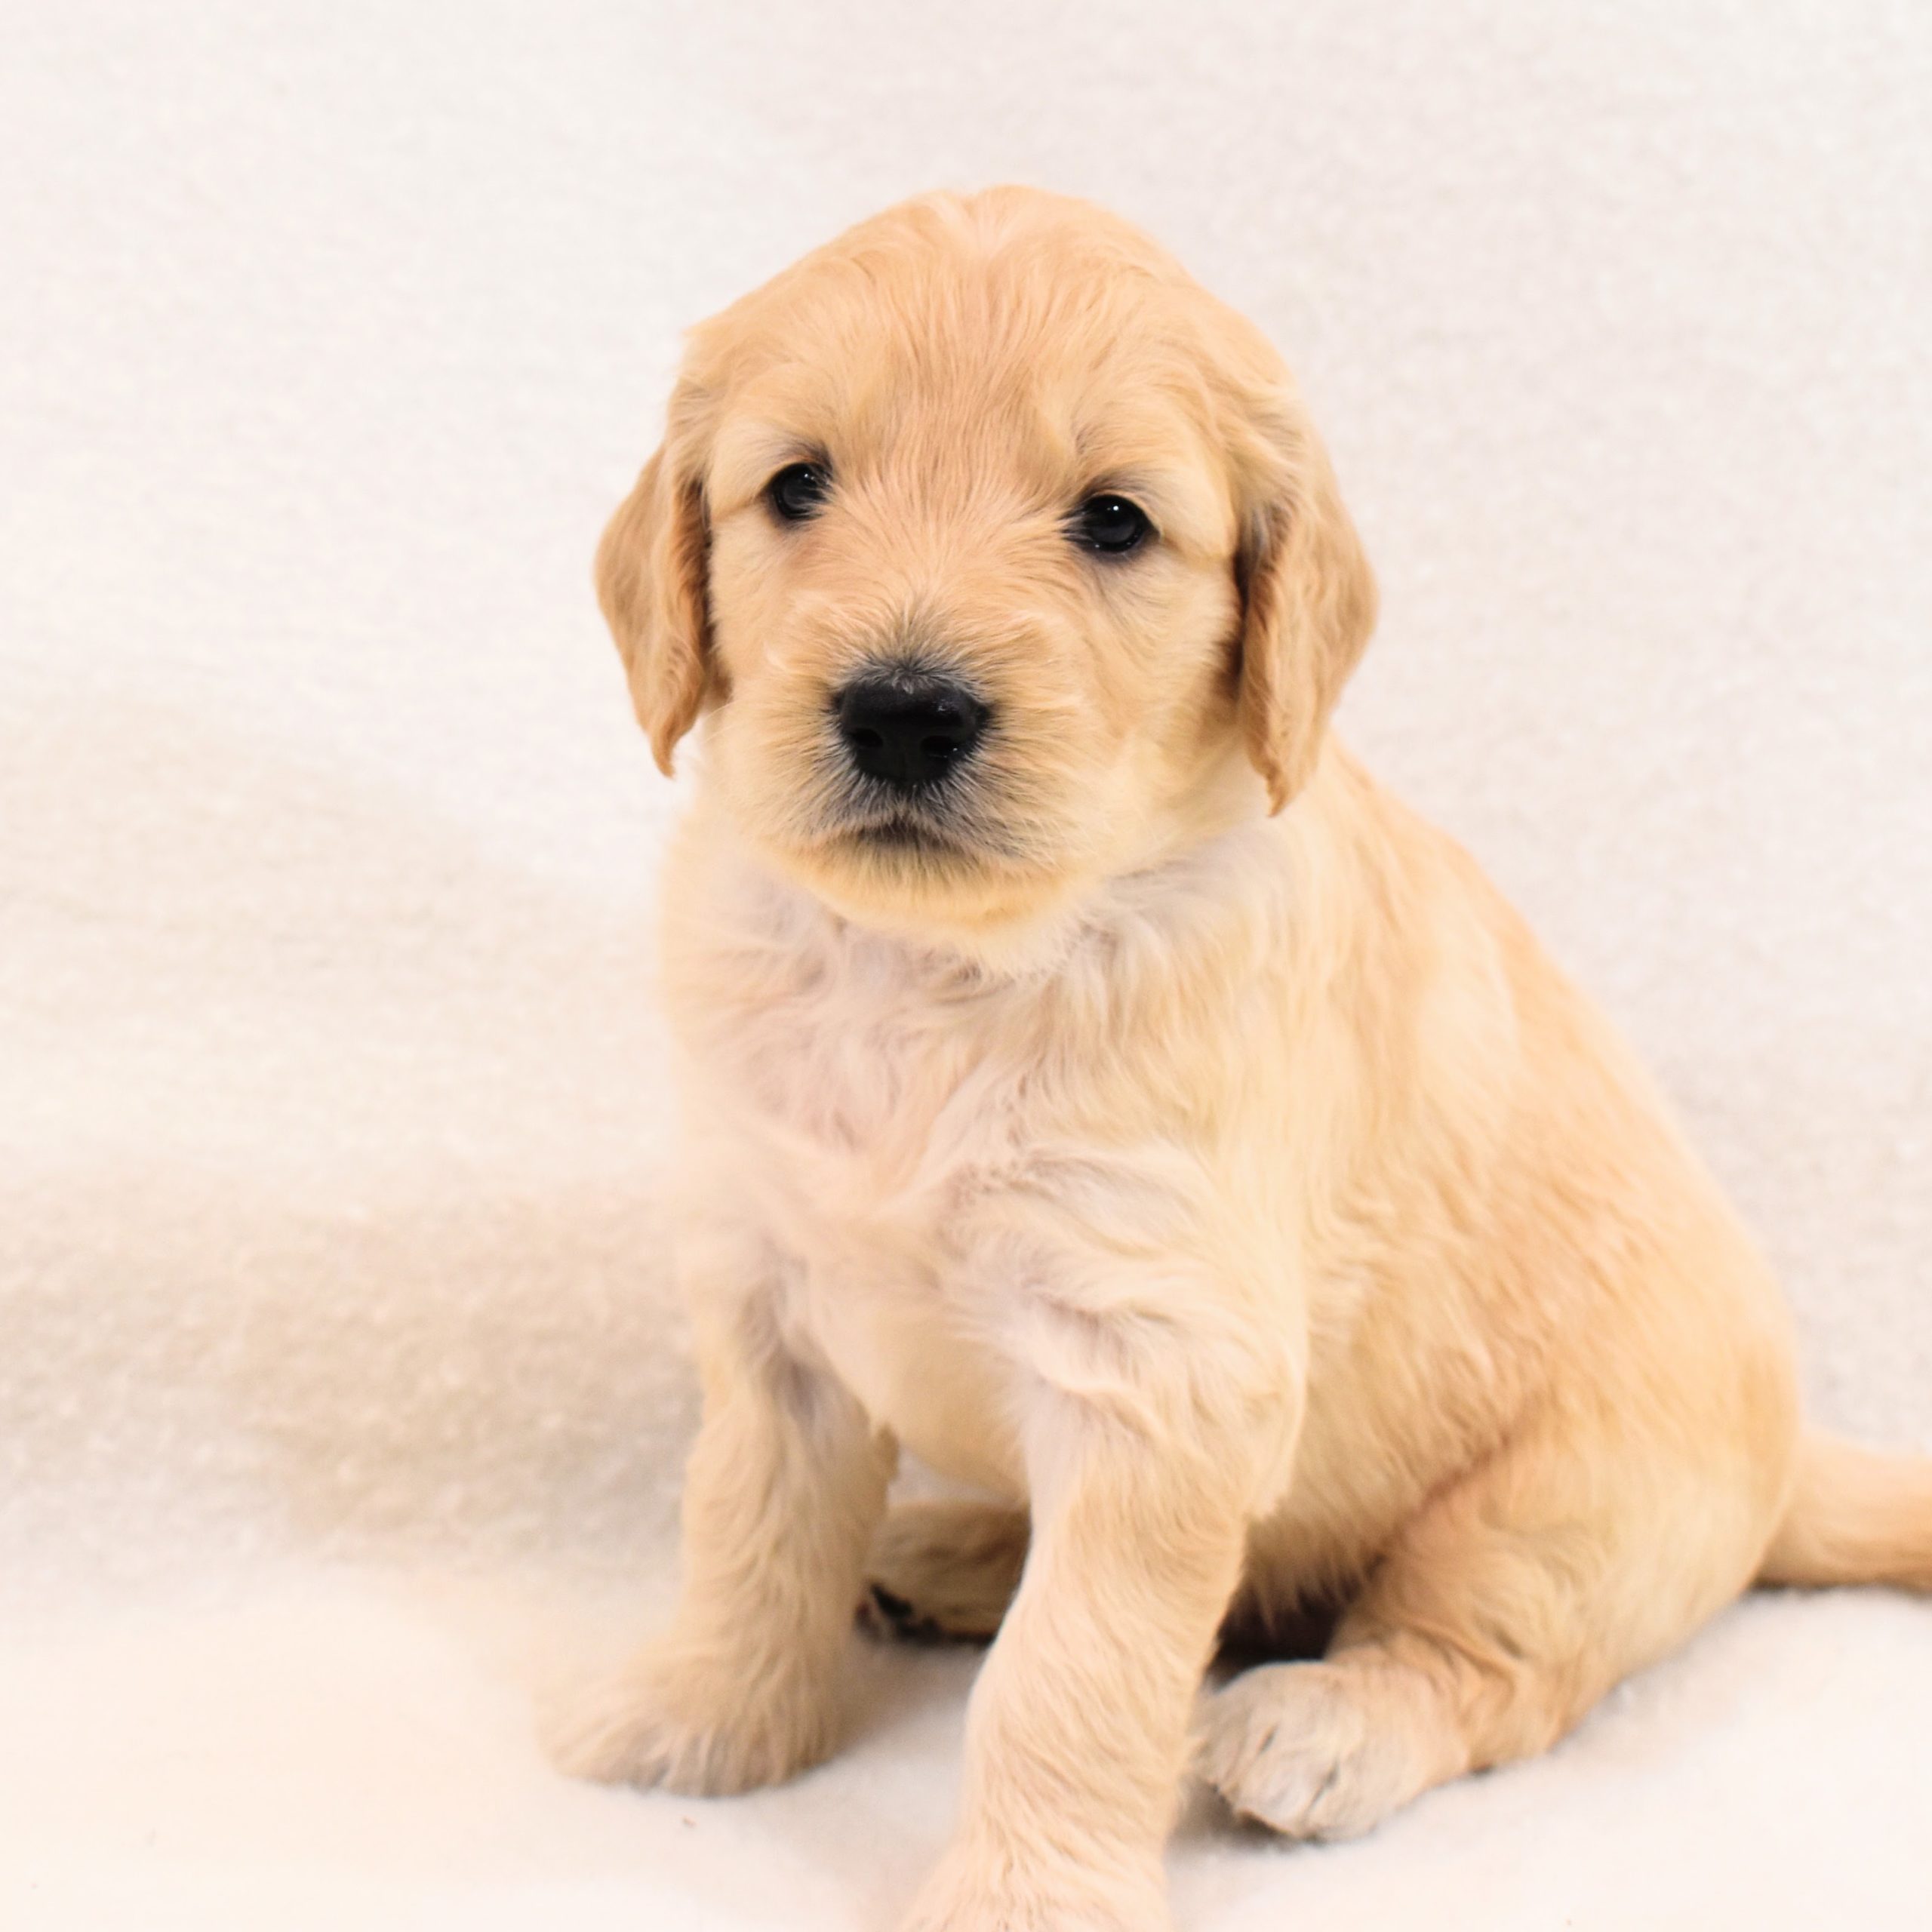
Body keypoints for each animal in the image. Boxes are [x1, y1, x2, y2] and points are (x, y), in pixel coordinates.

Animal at [560, 184, 1932, 1932]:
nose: (904, 713)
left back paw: (1326, 1723)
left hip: (1564, 1506)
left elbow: (1074, 1667)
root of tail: (1787, 1463)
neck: (945, 970)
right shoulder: (769, 1301)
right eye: (794, 484)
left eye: (1112, 522)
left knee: (1480, 1658)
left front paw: (1024, 1895)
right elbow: (746, 1533)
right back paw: (950, 1555)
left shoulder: (1161, 1365)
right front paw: (703, 1720)